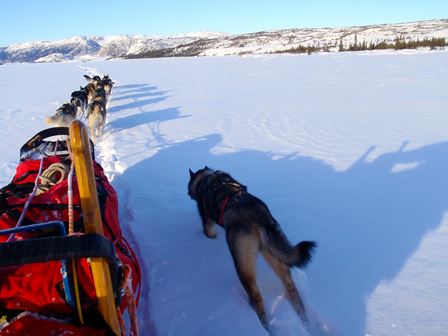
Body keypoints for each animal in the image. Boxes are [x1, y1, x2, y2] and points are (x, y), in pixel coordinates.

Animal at [187, 167, 316, 330]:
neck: (205, 179)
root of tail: (258, 215)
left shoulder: (207, 222)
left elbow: (209, 232)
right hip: (275, 254)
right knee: (291, 288)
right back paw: (305, 322)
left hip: (242, 262)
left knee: (256, 296)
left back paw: (262, 324)